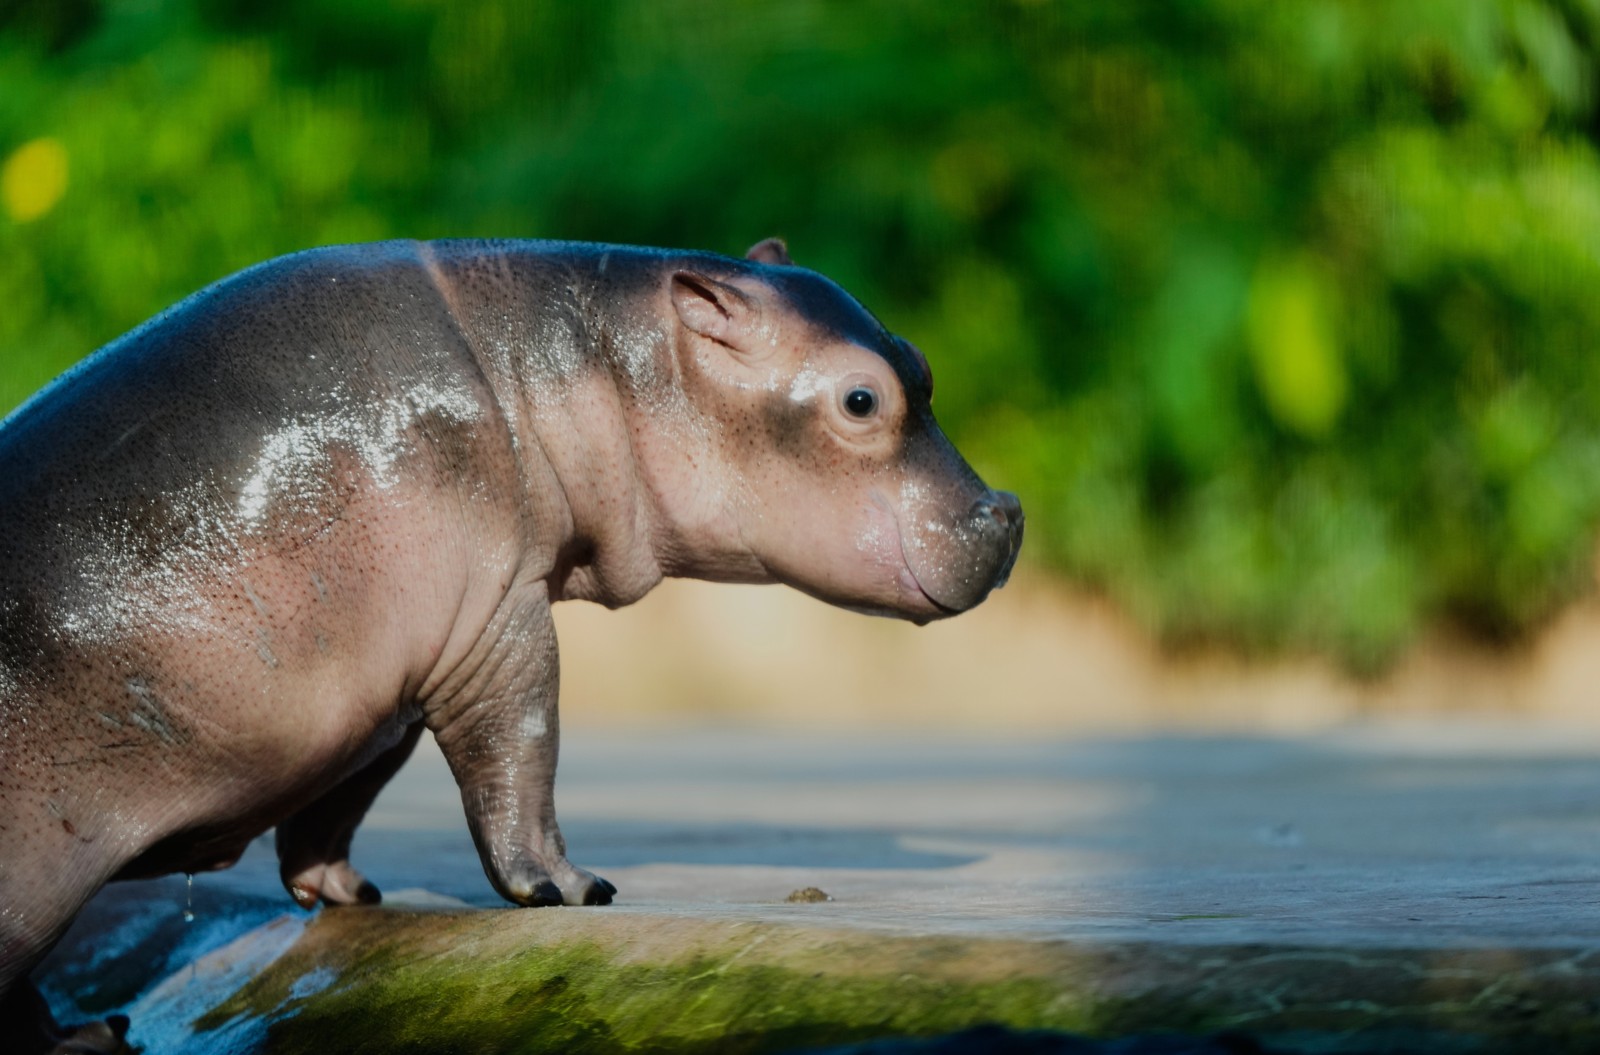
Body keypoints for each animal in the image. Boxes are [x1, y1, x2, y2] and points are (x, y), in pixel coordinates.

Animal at [0, 237, 1023, 1052]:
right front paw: (573, 890)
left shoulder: (406, 669)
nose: (1005, 513)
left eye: (922, 362)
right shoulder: (499, 620)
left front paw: (342, 893)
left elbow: (348, 791)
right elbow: (521, 752)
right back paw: (87, 1036)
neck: (578, 363)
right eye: (862, 398)